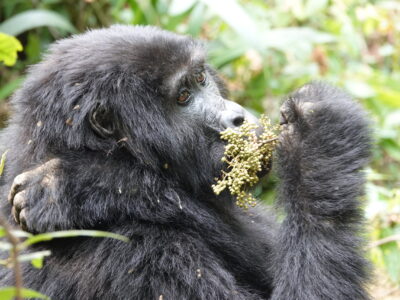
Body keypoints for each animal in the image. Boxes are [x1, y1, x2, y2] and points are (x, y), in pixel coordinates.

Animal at [0, 25, 372, 300]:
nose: (236, 117)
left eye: (201, 79)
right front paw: (320, 137)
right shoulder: (143, 255)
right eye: (183, 97)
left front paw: (73, 185)